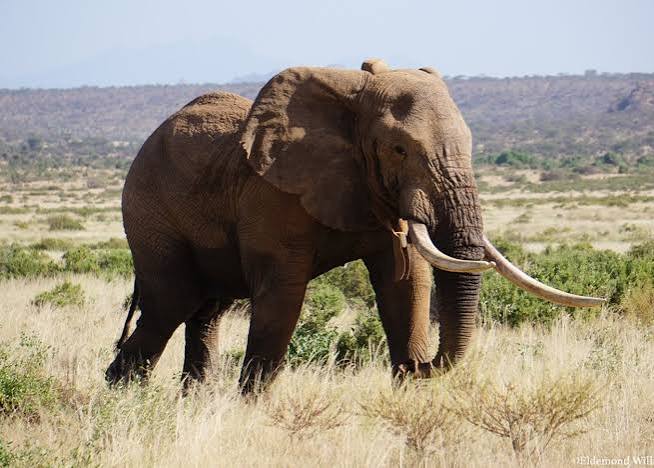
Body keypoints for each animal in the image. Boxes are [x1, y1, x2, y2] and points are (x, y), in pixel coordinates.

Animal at [105, 59, 603, 393]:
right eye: (399, 150)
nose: (422, 366)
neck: (353, 96)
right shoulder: (272, 196)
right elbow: (283, 296)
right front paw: (252, 409)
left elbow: (407, 284)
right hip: (148, 211)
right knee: (172, 302)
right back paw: (123, 397)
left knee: (206, 310)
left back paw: (192, 402)